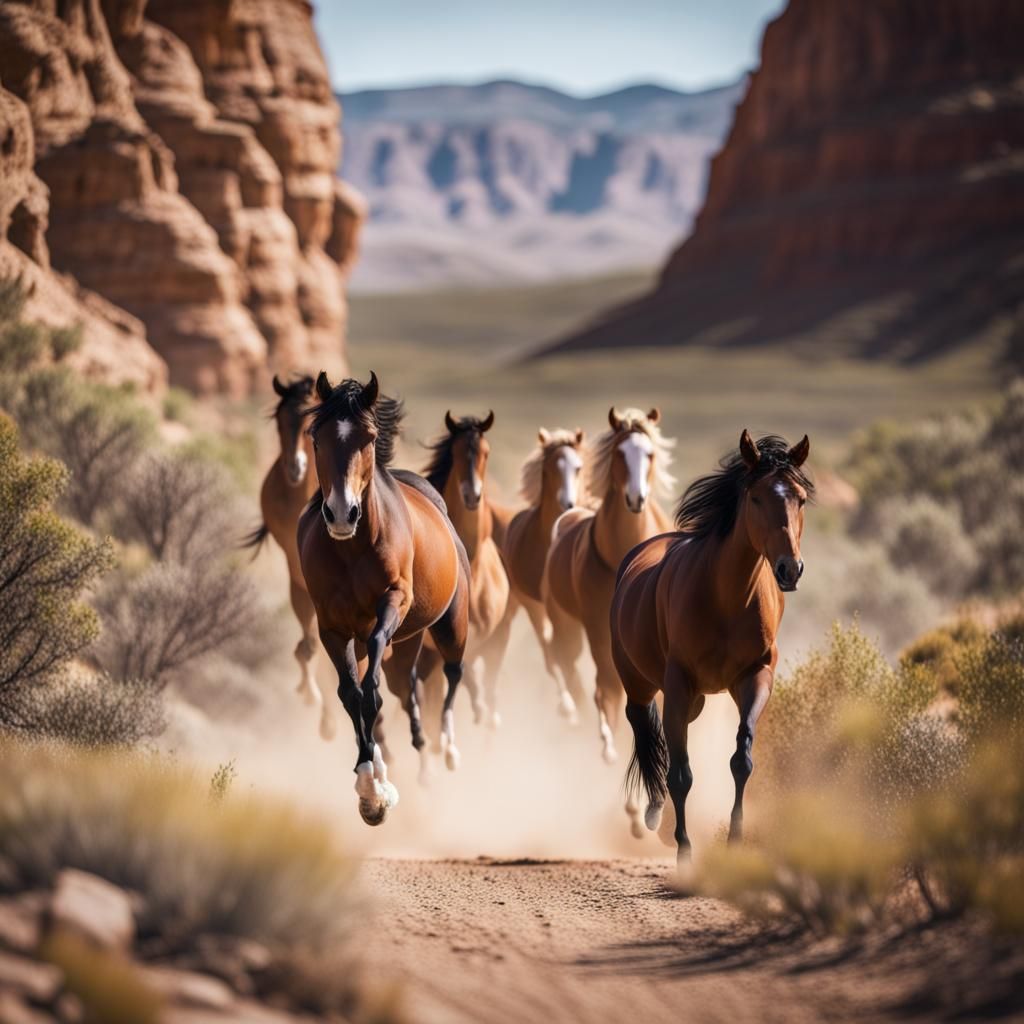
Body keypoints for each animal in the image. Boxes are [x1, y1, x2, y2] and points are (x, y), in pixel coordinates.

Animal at [244, 374, 338, 738]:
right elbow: (309, 646)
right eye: (280, 422)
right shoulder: (297, 578)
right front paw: (310, 696)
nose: (295, 468)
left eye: (312, 425)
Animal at [297, 371, 470, 825]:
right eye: (316, 437)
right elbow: (352, 694)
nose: (343, 514)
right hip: (406, 643)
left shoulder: (392, 605)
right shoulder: (332, 627)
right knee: (407, 691)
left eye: (370, 437)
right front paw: (370, 790)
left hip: (450, 624)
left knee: (452, 673)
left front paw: (376, 786)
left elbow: (369, 689)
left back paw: (448, 749)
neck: (352, 551)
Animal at [502, 427, 586, 720]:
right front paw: (570, 705)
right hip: (531, 605)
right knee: (548, 651)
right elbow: (554, 652)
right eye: (549, 470)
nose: (568, 503)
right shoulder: (543, 605)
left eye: (578, 468)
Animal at [544, 408, 674, 776]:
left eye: (650, 453)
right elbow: (607, 684)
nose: (636, 498)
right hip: (567, 625)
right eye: (619, 453)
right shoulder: (598, 628)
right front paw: (608, 741)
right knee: (566, 661)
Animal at [611, 430, 812, 858]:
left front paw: (735, 841)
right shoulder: (679, 682)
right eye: (756, 497)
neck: (726, 597)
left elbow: (742, 759)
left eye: (800, 498)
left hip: (698, 698)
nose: (790, 568)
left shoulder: (755, 676)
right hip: (640, 685)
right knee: (648, 735)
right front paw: (685, 851)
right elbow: (681, 774)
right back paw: (654, 813)